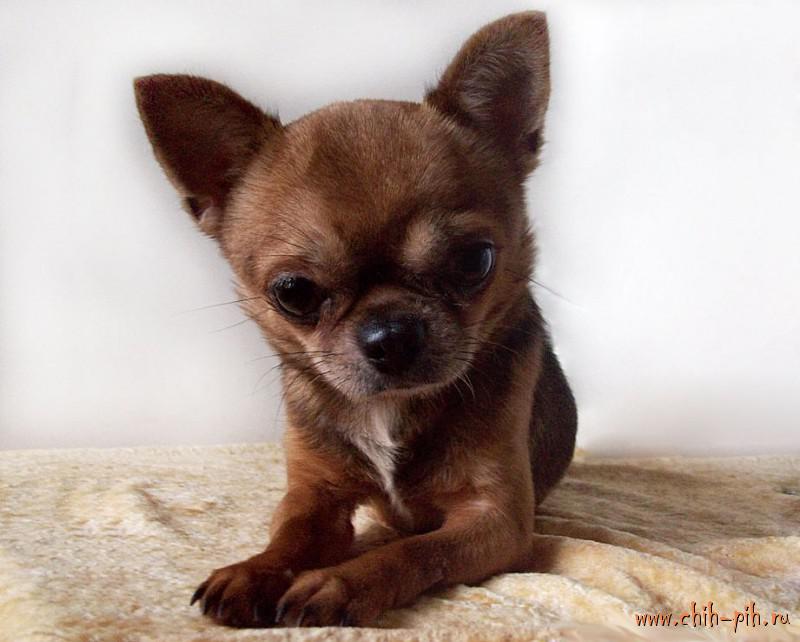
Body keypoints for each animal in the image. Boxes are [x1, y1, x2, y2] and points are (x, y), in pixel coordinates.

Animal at [134, 11, 577, 628]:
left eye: (475, 261)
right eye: (293, 292)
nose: (392, 334)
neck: (390, 410)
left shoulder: (497, 521)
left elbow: (417, 550)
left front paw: (340, 583)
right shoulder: (315, 496)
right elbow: (289, 536)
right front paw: (252, 570)